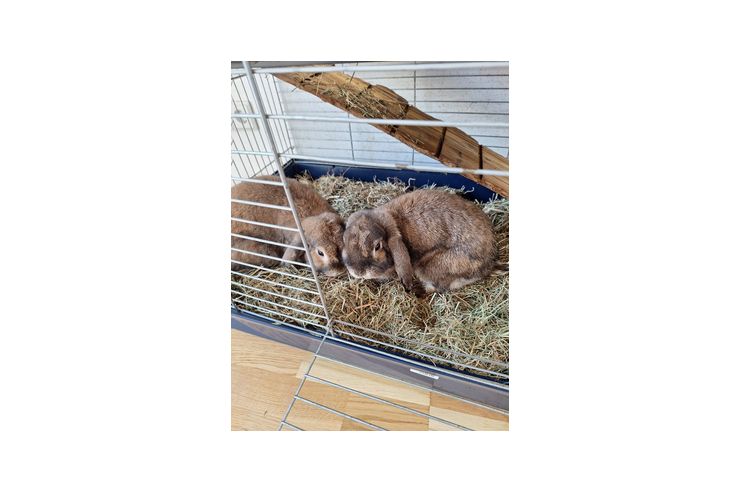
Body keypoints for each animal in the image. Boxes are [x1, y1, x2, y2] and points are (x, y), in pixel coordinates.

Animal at [342, 189, 507, 294]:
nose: (357, 272)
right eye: (344, 239)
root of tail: (489, 265)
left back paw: (418, 290)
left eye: (377, 246)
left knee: (438, 287)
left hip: (432, 267)